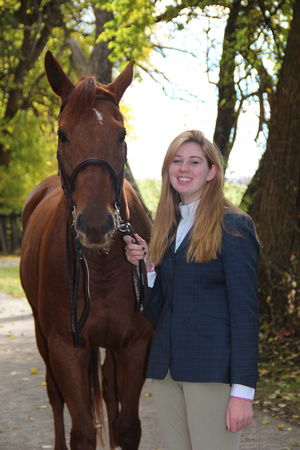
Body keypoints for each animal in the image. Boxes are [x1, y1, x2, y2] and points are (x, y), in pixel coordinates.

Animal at [19, 51, 152, 448]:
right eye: (62, 134)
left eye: (121, 134)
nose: (95, 225)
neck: (103, 267)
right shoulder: (66, 347)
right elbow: (81, 431)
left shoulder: (135, 345)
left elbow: (127, 426)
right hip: (43, 336)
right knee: (54, 395)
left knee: (107, 388)